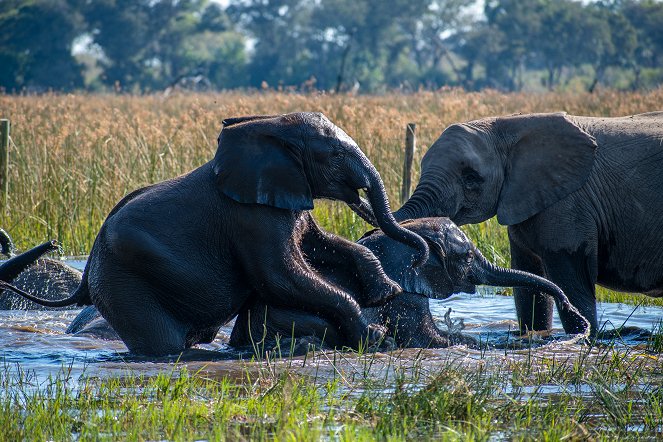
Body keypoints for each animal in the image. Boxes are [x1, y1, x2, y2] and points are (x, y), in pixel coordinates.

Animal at [392, 111, 663, 334]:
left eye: (471, 178)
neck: (507, 125)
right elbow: (530, 285)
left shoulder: (569, 206)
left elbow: (572, 283)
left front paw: (586, 338)